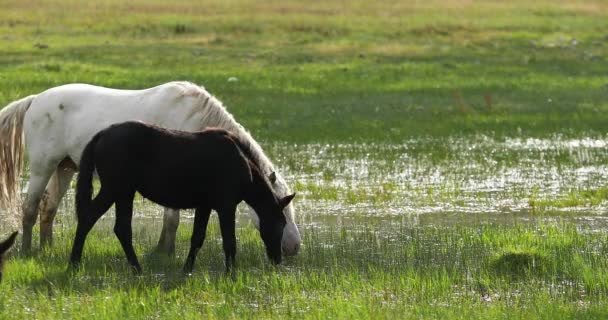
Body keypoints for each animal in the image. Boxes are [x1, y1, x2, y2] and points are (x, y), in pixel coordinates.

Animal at [0, 81, 302, 256]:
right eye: (282, 211)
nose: (294, 248)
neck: (194, 121)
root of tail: (36, 99)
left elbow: (171, 219)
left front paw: (163, 250)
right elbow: (172, 219)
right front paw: (165, 252)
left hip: (65, 168)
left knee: (48, 208)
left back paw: (47, 248)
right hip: (43, 167)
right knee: (30, 208)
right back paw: (27, 250)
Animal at [70, 121, 296, 274]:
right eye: (280, 222)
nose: (278, 259)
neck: (241, 162)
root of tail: (102, 134)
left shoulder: (205, 205)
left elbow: (197, 237)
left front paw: (187, 269)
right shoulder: (226, 206)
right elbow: (229, 241)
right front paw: (231, 273)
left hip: (123, 192)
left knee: (116, 227)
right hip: (115, 189)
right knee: (92, 219)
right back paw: (76, 263)